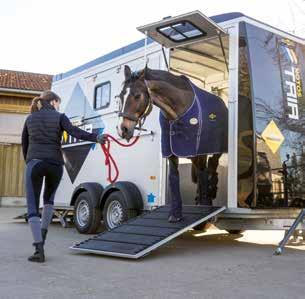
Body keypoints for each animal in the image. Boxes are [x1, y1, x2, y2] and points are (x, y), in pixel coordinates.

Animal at [117, 66, 227, 225]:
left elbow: (203, 174)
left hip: (213, 149)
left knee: (211, 166)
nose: (122, 129)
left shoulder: (199, 149)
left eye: (137, 96)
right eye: (120, 96)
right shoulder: (172, 151)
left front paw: (205, 207)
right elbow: (174, 178)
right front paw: (176, 214)